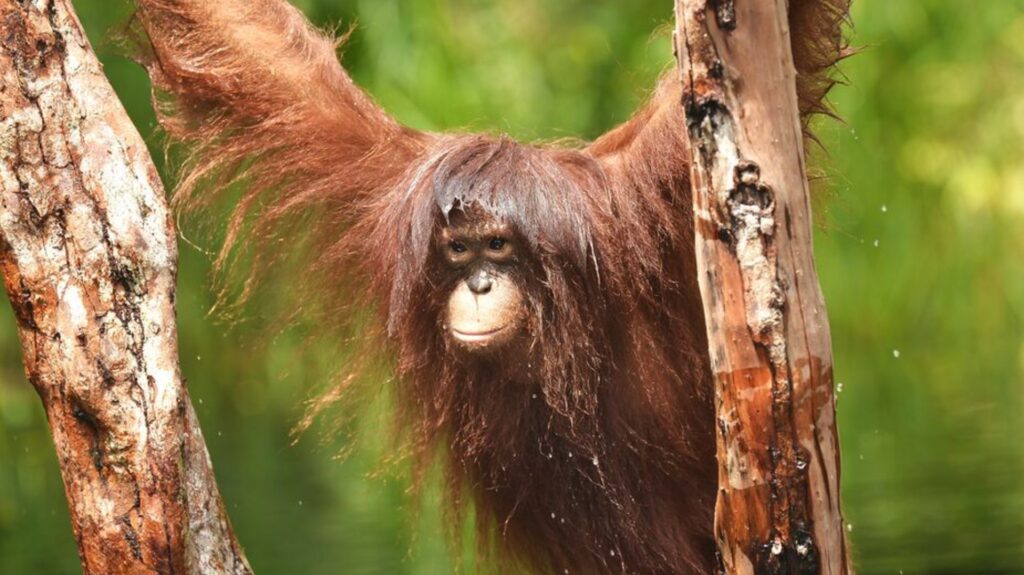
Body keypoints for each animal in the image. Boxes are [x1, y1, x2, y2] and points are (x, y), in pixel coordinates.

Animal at [132, 1, 848, 573]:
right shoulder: (386, 188)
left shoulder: (646, 193)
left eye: (499, 247)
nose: (478, 283)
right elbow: (257, 51)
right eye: (459, 250)